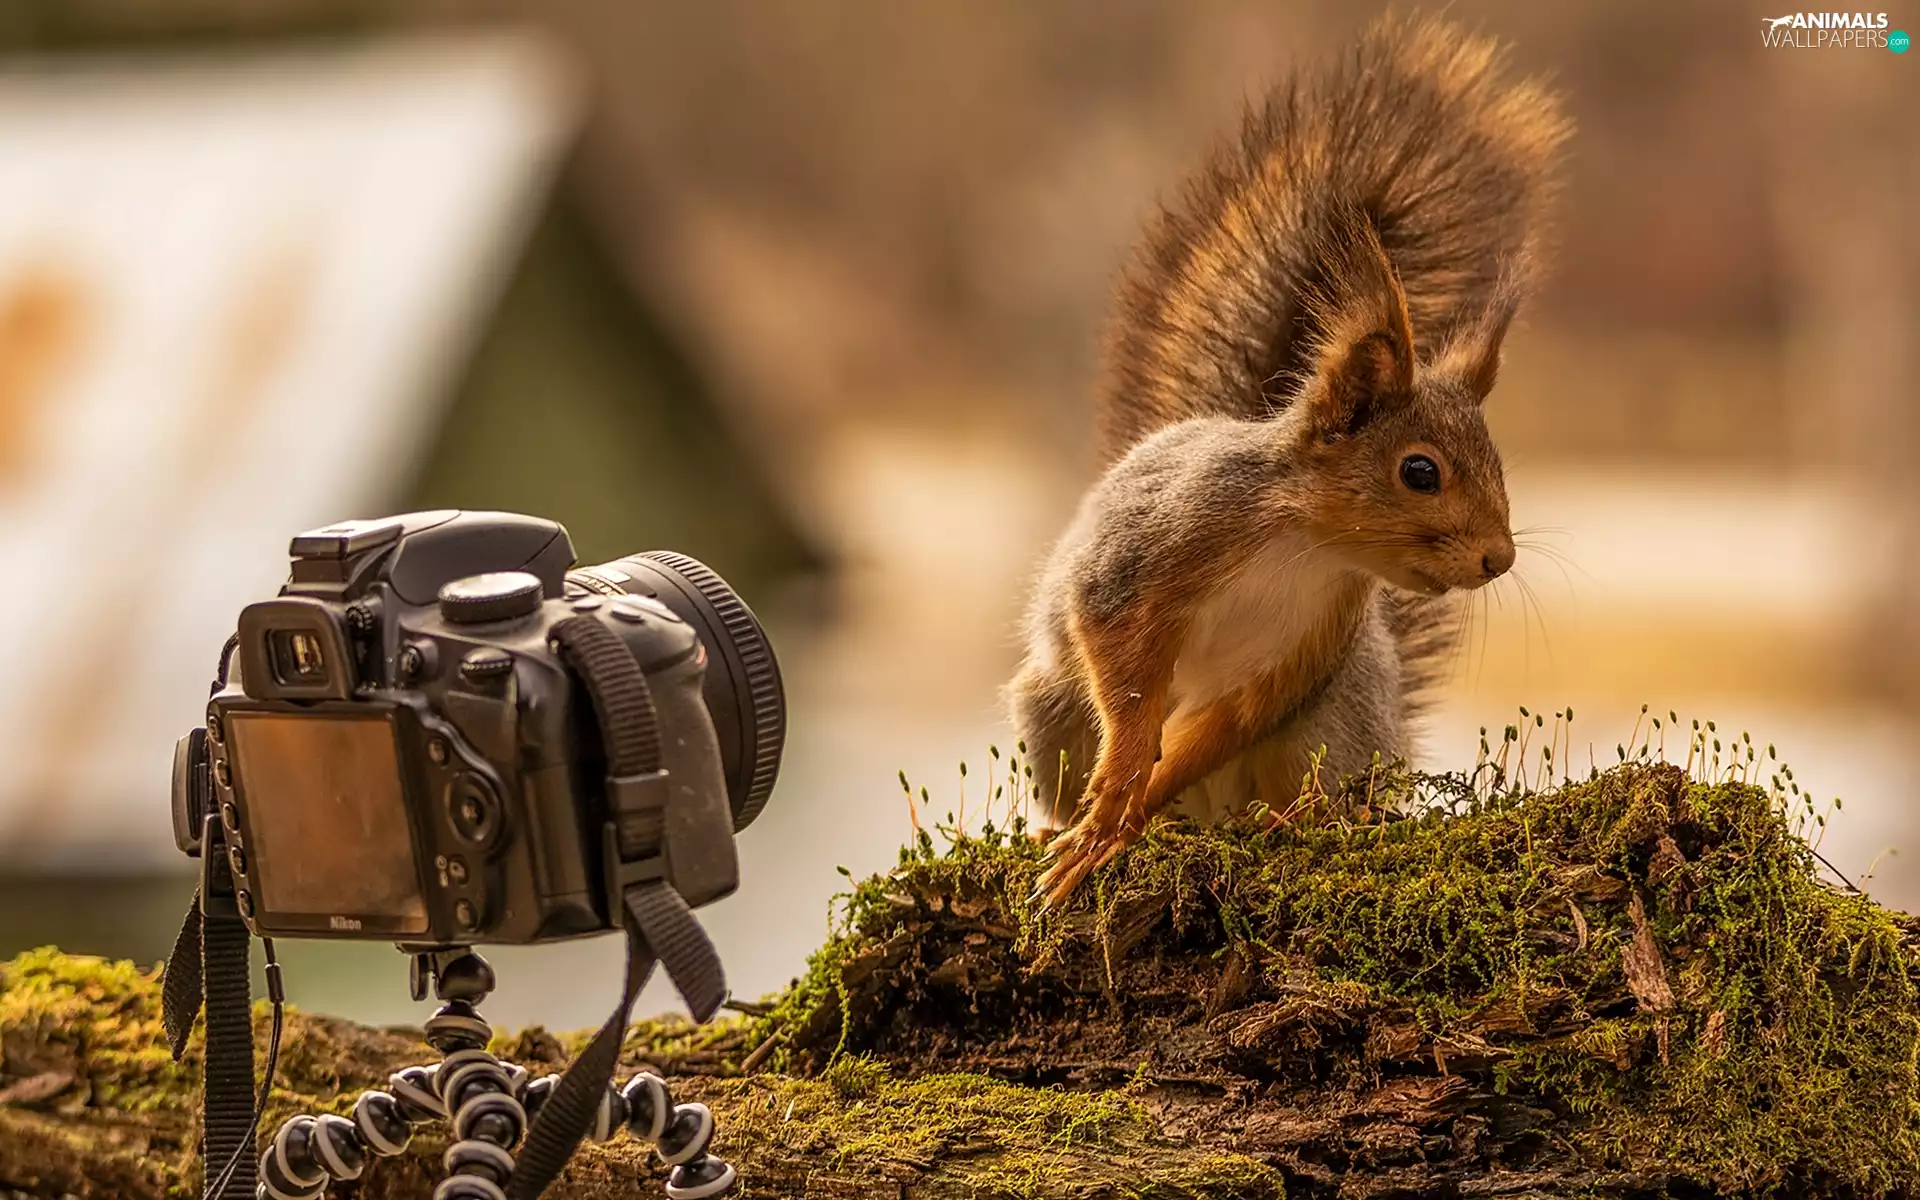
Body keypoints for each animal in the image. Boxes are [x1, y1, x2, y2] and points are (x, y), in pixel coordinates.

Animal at [1009, 15, 1571, 907]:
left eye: (1499, 463)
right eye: (1420, 471)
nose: (1499, 559)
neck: (1306, 542)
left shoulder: (1301, 654)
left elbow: (1222, 722)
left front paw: (1125, 816)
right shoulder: (1157, 552)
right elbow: (1124, 673)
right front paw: (1108, 816)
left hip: (1328, 728)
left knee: (1296, 793)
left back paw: (1289, 821)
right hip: (1051, 713)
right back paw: (1070, 827)